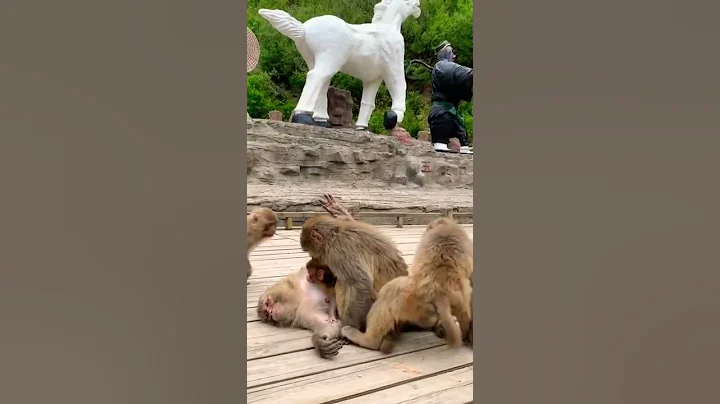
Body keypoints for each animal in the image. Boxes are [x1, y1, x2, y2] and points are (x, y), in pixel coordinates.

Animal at [340, 217, 473, 353]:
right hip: (453, 302)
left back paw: (369, 340)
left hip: (418, 303)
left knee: (392, 290)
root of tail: (441, 294)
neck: (445, 226)